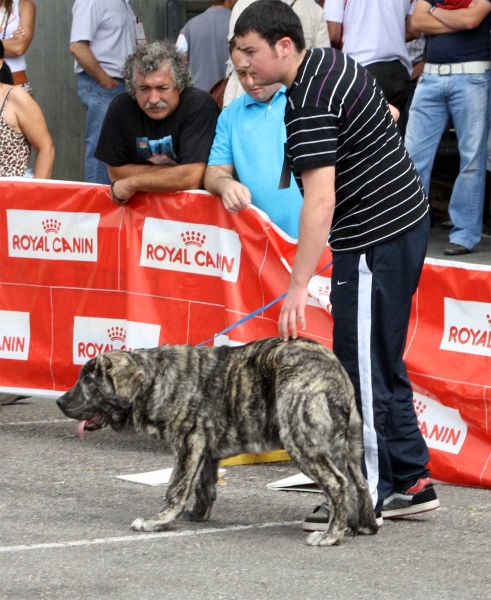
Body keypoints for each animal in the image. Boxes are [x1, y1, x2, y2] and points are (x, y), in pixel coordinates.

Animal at [58, 336, 380, 548]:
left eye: (89, 381)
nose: (60, 402)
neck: (155, 380)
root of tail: (331, 369)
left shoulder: (188, 442)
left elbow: (176, 487)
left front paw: (158, 521)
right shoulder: (205, 449)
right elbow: (203, 486)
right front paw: (196, 515)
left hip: (301, 440)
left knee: (339, 484)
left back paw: (331, 535)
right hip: (349, 445)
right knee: (361, 484)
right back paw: (364, 526)